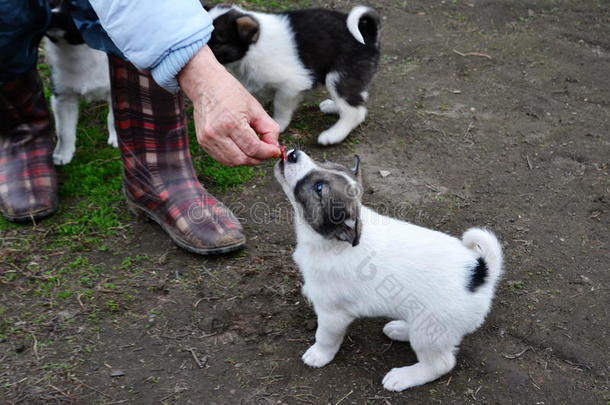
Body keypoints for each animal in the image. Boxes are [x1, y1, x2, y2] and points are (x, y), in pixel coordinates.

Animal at [44, 0, 116, 164]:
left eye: (76, 7)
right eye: (49, 3)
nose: (53, 15)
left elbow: (114, 118)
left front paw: (117, 139)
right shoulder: (62, 98)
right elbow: (64, 131)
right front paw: (63, 154)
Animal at [208, 4, 380, 145]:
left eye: (217, 42)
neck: (253, 48)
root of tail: (368, 33)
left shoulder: (292, 85)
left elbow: (280, 106)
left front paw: (278, 124)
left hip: (338, 77)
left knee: (355, 112)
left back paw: (333, 135)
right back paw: (333, 107)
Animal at [274, 150, 502, 390]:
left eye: (319, 188)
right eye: (325, 163)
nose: (292, 154)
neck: (330, 242)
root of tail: (481, 272)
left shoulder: (332, 314)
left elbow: (325, 337)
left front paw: (318, 355)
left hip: (430, 331)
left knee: (440, 364)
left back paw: (403, 376)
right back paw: (399, 329)